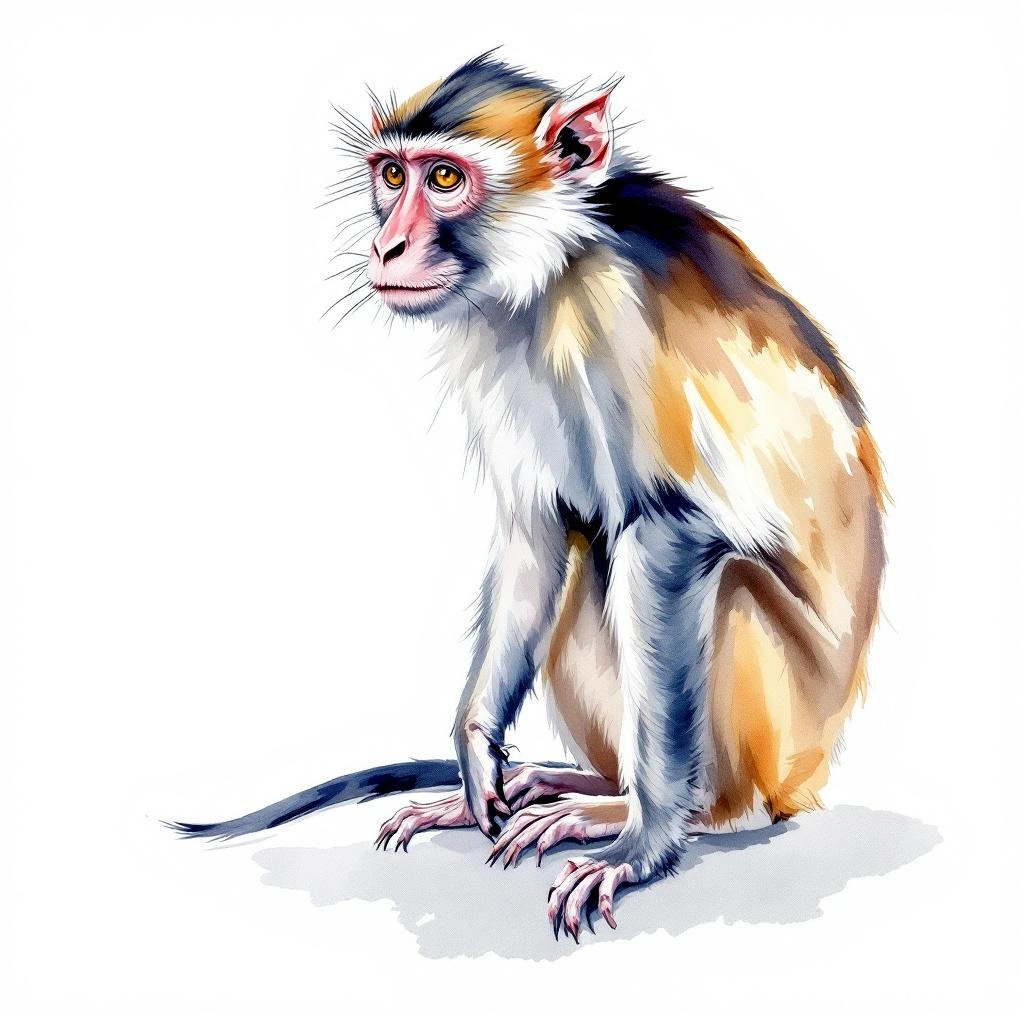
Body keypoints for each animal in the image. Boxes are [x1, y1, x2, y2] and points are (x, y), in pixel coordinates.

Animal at [168, 53, 886, 942]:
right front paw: (476, 753)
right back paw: (580, 786)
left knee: (673, 573)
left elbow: (669, 531)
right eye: (392, 175)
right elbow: (538, 529)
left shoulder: (614, 314)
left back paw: (668, 812)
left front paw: (646, 845)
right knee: (587, 556)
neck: (557, 265)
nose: (386, 242)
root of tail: (804, 776)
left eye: (445, 178)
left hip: (779, 733)